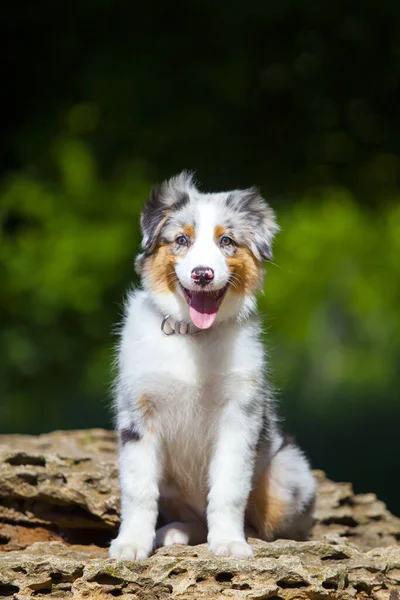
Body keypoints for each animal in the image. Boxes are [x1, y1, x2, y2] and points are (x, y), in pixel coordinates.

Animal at [109, 171, 316, 560]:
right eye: (181, 240)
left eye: (226, 241)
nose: (202, 274)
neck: (193, 337)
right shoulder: (138, 416)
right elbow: (139, 491)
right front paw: (131, 544)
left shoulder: (239, 416)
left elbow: (228, 490)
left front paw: (229, 543)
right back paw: (173, 532)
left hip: (287, 475)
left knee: (265, 524)